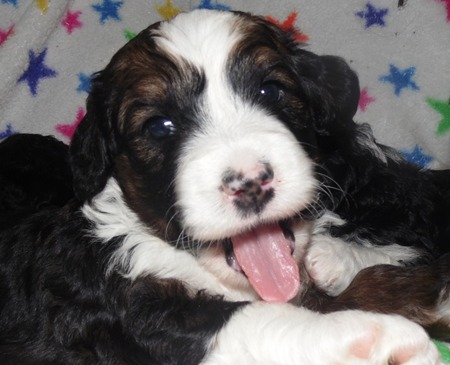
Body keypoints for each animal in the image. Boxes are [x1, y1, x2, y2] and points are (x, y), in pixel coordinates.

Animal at [0, 9, 444, 364]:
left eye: (271, 90)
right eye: (159, 127)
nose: (250, 182)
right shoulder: (129, 312)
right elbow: (244, 318)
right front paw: (378, 339)